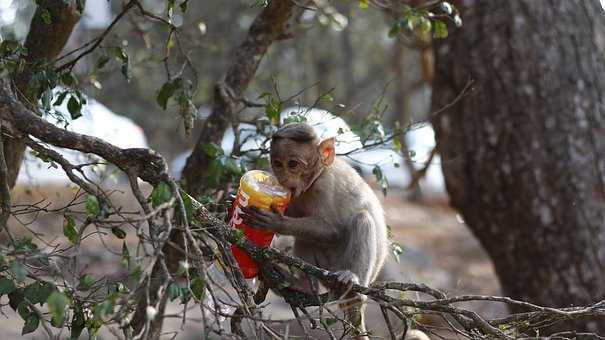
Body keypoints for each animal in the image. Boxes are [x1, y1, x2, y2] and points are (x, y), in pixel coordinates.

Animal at [239, 123, 386, 340]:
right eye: (278, 164)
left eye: (292, 164)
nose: (282, 177)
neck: (317, 176)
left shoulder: (324, 187)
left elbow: (332, 229)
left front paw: (277, 223)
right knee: (307, 239)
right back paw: (303, 285)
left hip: (342, 267)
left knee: (363, 220)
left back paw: (352, 283)